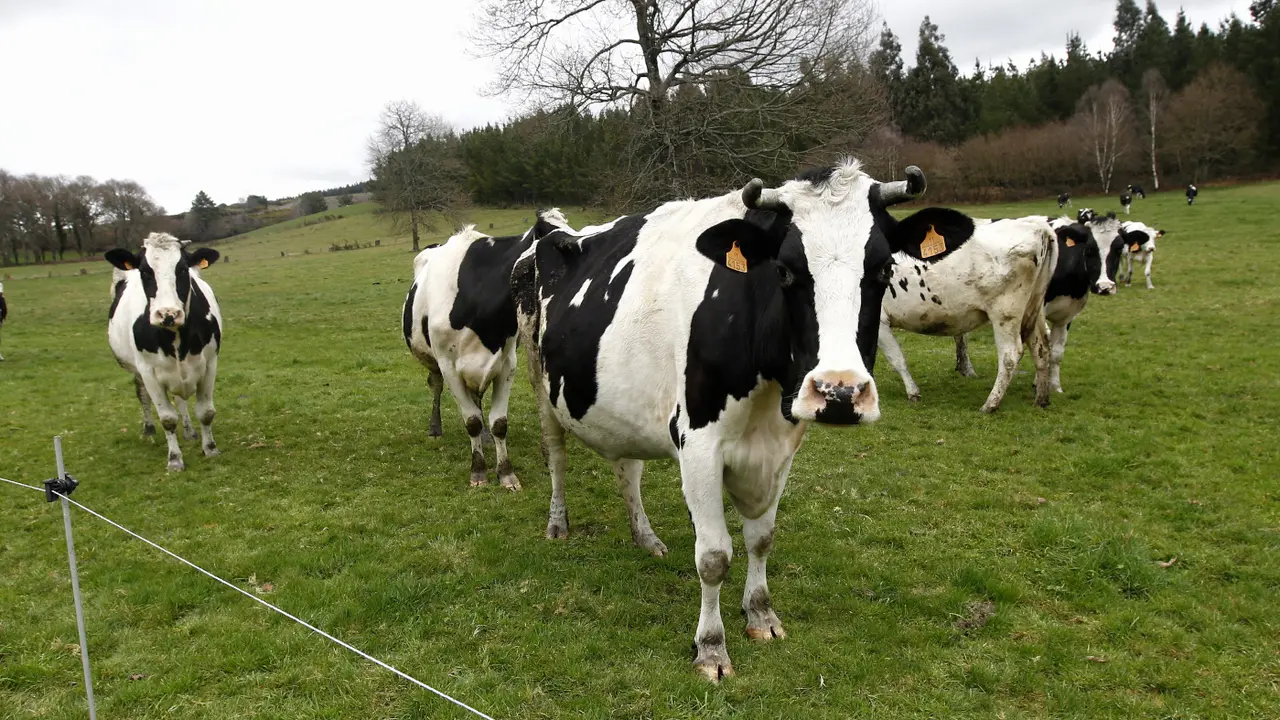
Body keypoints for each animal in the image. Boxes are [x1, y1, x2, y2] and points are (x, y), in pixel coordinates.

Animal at [104, 233, 222, 471]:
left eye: (183, 269)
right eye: (145, 271)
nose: (168, 313)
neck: (176, 337)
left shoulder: (209, 364)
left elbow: (206, 412)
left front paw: (210, 449)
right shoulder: (148, 371)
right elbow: (167, 418)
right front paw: (175, 459)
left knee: (180, 400)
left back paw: (189, 431)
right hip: (138, 370)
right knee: (142, 394)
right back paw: (149, 430)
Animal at [402, 210, 572, 490]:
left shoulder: (507, 363)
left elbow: (498, 423)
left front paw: (506, 473)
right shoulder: (449, 366)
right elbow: (470, 420)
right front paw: (478, 472)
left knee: (477, 398)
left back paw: (484, 437)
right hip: (433, 360)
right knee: (436, 385)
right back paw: (435, 428)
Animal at [512, 160, 935, 681]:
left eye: (883, 268)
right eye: (785, 271)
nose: (840, 392)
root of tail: (552, 229)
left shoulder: (781, 447)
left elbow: (761, 538)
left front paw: (761, 614)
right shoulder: (697, 445)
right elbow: (714, 556)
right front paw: (711, 647)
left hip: (621, 406)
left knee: (627, 468)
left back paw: (645, 536)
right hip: (540, 384)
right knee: (556, 457)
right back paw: (558, 523)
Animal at [875, 216, 1057, 412]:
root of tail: (1036, 225)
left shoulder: (879, 322)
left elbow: (896, 359)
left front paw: (912, 392)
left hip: (1005, 312)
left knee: (1010, 355)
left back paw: (990, 404)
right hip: (1033, 309)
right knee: (1041, 348)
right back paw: (1041, 400)